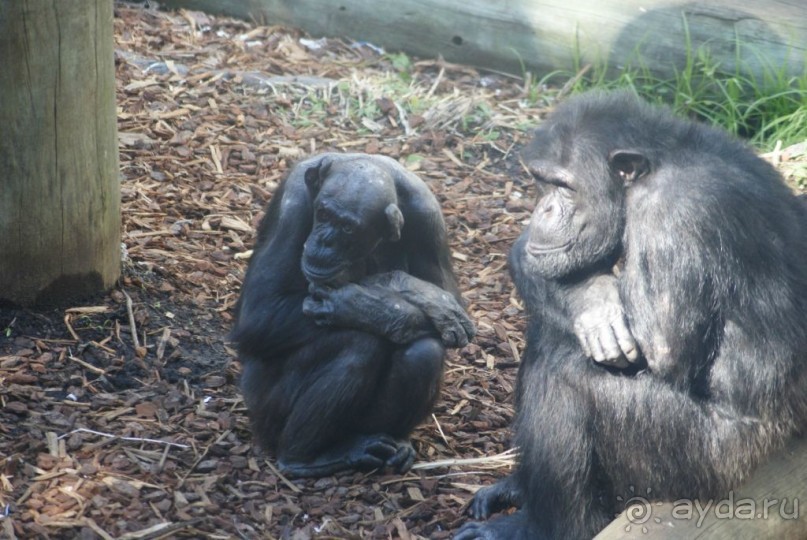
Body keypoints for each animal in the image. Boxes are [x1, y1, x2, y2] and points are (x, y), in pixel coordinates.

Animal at [232, 151, 474, 476]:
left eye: (347, 228)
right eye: (323, 215)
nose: (325, 241)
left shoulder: (429, 215)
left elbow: (448, 295)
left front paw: (379, 300)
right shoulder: (293, 205)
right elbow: (259, 313)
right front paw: (390, 298)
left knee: (424, 353)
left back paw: (387, 445)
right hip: (267, 408)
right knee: (357, 346)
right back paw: (302, 457)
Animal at [458, 90, 804, 536]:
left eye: (564, 187)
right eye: (541, 181)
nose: (544, 210)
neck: (660, 163)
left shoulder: (673, 213)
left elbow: (662, 350)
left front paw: (597, 303)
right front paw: (593, 300)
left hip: (705, 462)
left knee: (563, 370)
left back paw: (539, 527)